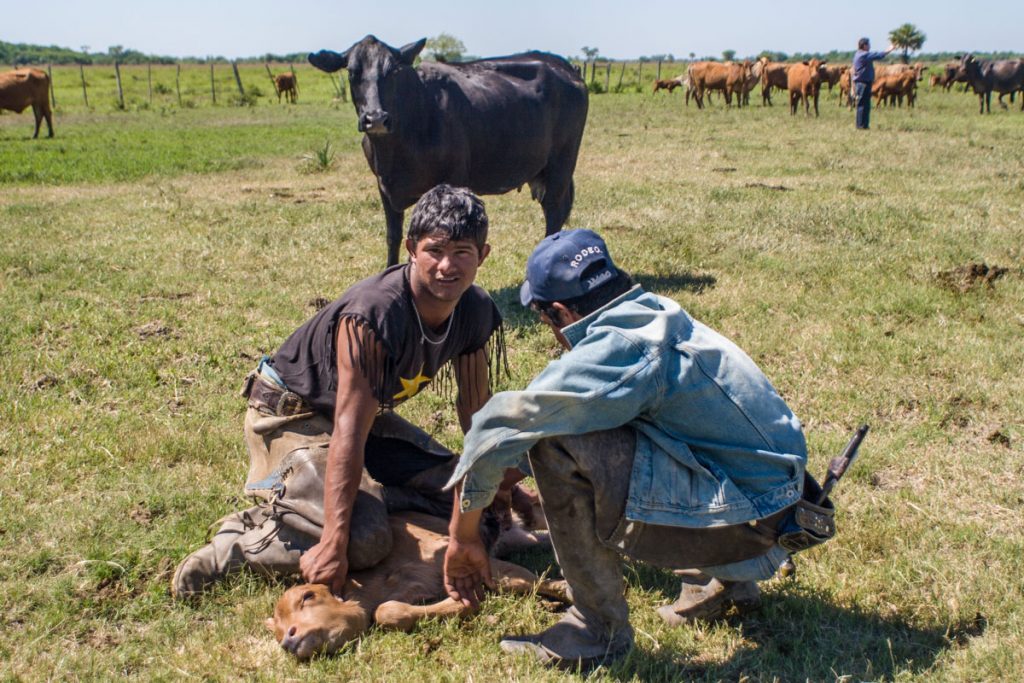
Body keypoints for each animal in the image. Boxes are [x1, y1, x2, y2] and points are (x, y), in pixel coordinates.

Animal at [307, 34, 589, 266]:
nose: (375, 118)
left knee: (554, 212)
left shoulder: (453, 180)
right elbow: (393, 236)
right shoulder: (383, 185)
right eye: (352, 72)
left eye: (394, 71)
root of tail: (561, 65)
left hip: (562, 162)